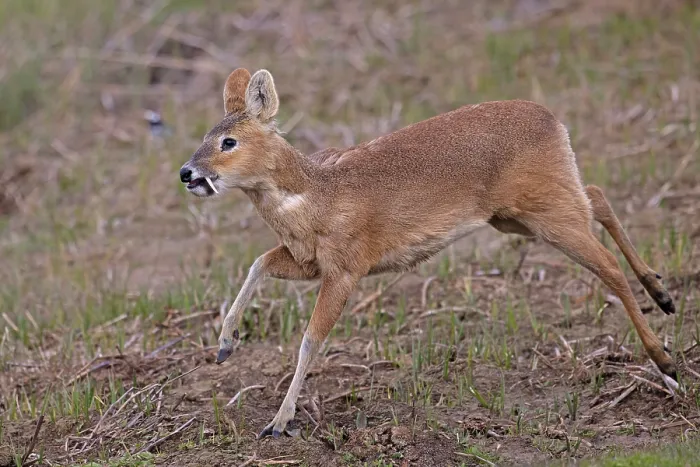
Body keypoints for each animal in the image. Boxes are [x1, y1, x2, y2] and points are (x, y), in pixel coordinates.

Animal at [179, 67, 678, 438]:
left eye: (228, 141)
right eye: (205, 134)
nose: (187, 172)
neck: (317, 194)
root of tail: (553, 119)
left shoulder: (347, 267)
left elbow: (309, 340)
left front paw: (279, 421)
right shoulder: (309, 262)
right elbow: (258, 263)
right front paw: (225, 345)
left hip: (545, 211)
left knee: (607, 265)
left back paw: (665, 359)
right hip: (520, 214)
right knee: (598, 196)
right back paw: (662, 293)